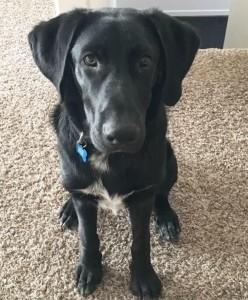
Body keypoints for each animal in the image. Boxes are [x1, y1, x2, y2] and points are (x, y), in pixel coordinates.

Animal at [28, 8, 200, 298]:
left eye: (145, 61)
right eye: (89, 60)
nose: (121, 134)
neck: (111, 159)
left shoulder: (142, 198)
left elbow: (141, 240)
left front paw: (143, 277)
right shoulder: (84, 197)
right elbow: (88, 236)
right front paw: (89, 269)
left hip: (169, 159)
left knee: (162, 193)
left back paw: (165, 218)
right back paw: (68, 209)